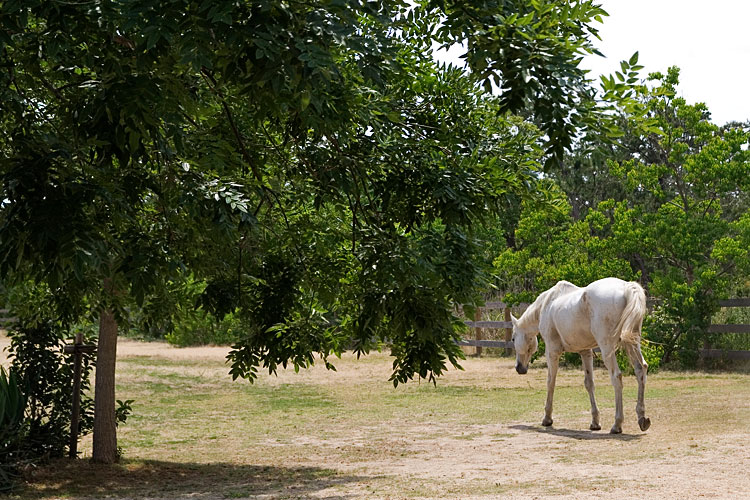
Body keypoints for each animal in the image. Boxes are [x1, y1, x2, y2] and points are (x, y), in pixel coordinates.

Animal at [512, 278, 652, 434]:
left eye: (513, 338)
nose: (519, 368)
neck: (547, 304)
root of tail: (626, 287)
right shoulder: (585, 352)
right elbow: (589, 383)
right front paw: (595, 422)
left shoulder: (552, 351)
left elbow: (551, 382)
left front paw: (547, 418)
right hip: (632, 343)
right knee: (641, 369)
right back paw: (642, 418)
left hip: (607, 349)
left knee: (616, 377)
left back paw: (617, 424)